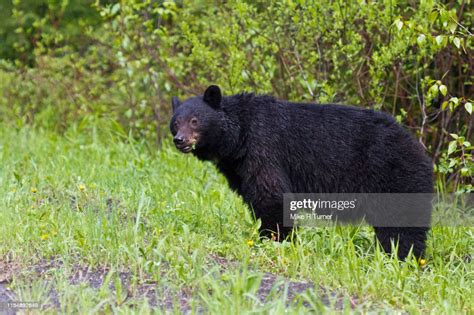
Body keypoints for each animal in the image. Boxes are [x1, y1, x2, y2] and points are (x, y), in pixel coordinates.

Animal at [170, 86, 434, 260]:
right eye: (175, 123)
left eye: (194, 120)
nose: (180, 140)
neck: (238, 137)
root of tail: (419, 150)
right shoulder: (238, 166)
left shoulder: (263, 146)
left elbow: (271, 195)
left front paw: (275, 240)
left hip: (393, 176)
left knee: (401, 225)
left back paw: (401, 256)